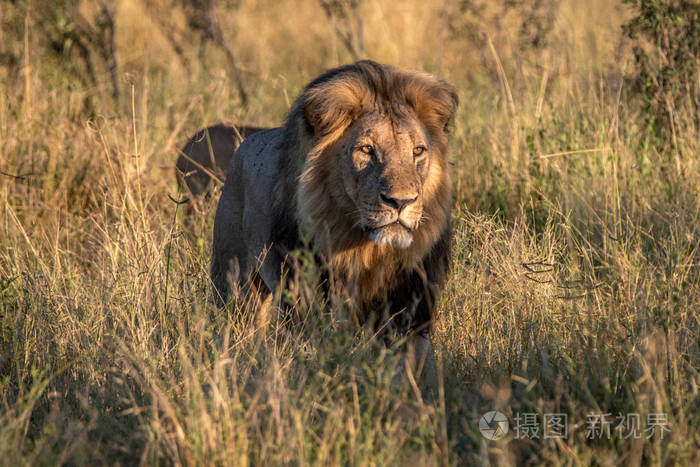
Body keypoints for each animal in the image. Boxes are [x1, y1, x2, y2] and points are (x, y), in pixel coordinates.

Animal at [211, 61, 456, 384]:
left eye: (417, 151)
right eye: (366, 150)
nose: (401, 201)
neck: (366, 249)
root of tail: (246, 143)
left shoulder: (411, 304)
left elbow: (414, 361)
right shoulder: (310, 299)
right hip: (233, 282)